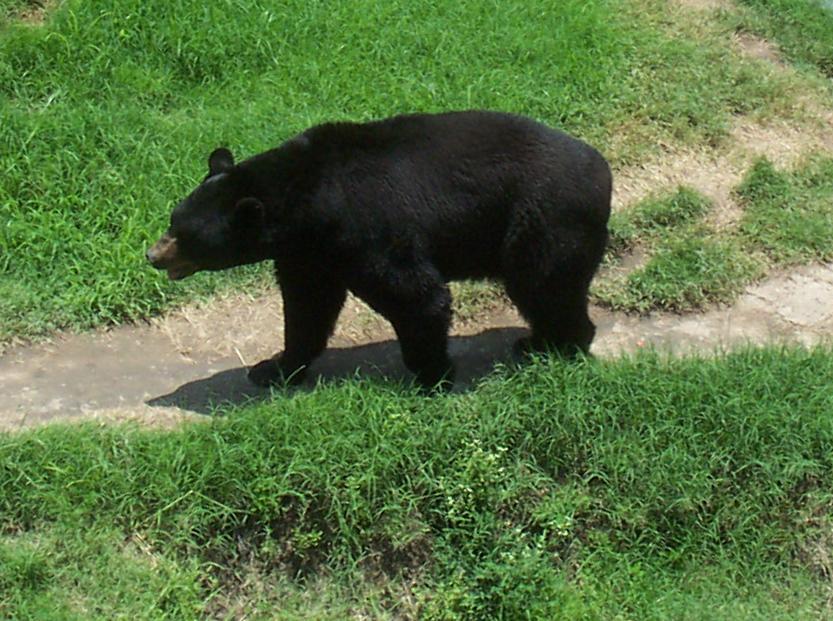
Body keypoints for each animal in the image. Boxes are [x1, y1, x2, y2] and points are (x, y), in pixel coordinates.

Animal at [146, 110, 612, 390]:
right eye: (173, 219)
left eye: (183, 234)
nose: (152, 255)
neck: (306, 201)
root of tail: (602, 170)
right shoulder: (309, 253)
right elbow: (306, 307)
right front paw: (274, 368)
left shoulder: (365, 229)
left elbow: (416, 295)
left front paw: (432, 374)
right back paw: (537, 342)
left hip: (547, 220)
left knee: (546, 284)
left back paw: (560, 345)